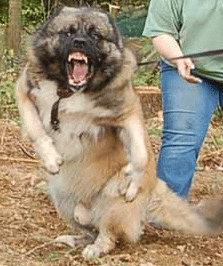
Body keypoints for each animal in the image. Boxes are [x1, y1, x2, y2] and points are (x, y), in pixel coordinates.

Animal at [17, 6, 223, 258]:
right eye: (68, 32)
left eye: (95, 35)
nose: (80, 41)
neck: (71, 92)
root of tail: (155, 186)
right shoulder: (24, 91)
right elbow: (36, 129)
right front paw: (50, 158)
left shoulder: (128, 112)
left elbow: (140, 153)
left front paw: (134, 176)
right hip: (63, 202)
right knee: (88, 227)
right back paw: (74, 239)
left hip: (111, 202)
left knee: (108, 234)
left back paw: (96, 247)